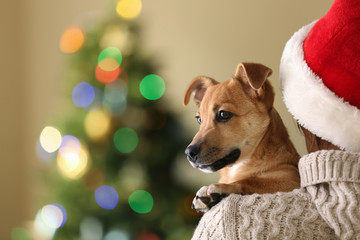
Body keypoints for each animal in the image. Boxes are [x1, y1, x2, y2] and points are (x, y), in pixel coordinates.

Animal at [184, 62, 300, 212]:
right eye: (199, 119)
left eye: (223, 114)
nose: (189, 153)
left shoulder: (292, 177)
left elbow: (253, 181)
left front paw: (223, 188)